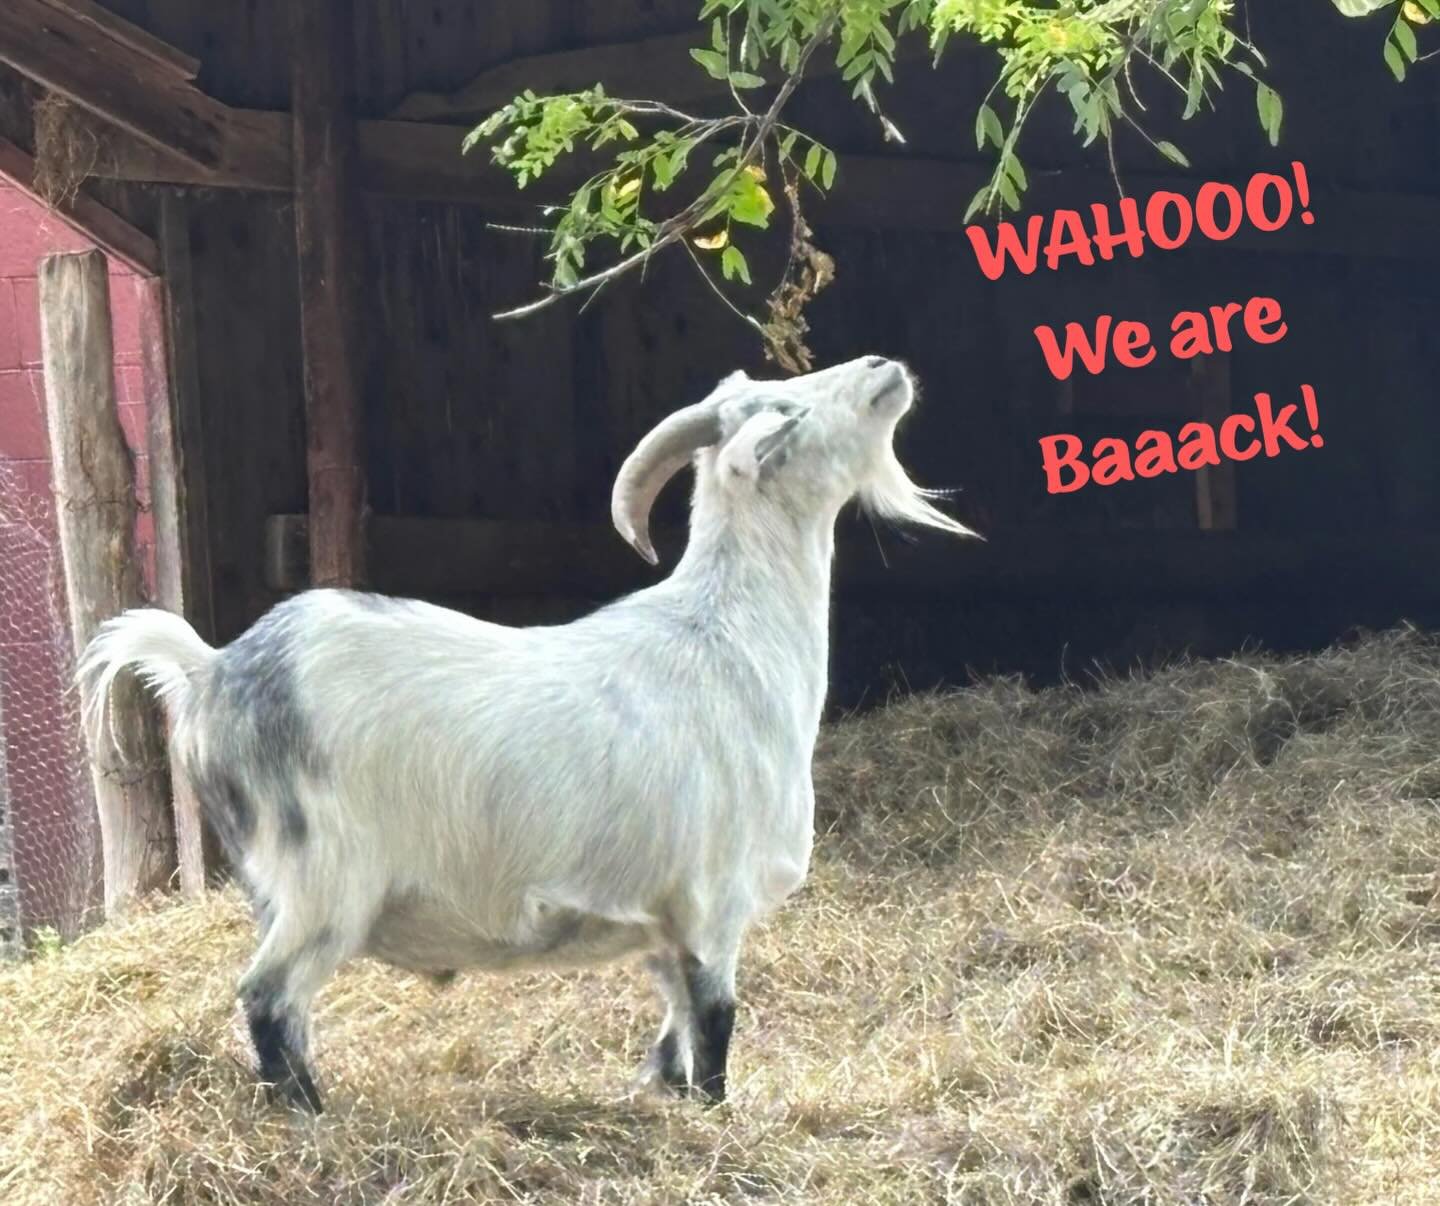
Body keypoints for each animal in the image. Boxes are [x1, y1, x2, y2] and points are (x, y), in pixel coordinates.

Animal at [78, 355, 974, 1111]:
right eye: (789, 410)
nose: (883, 367)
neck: (729, 640)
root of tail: (210, 670)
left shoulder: (665, 926)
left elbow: (673, 1036)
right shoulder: (713, 902)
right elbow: (715, 1031)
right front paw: (718, 1122)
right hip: (321, 882)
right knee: (269, 1002)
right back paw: (314, 1120)